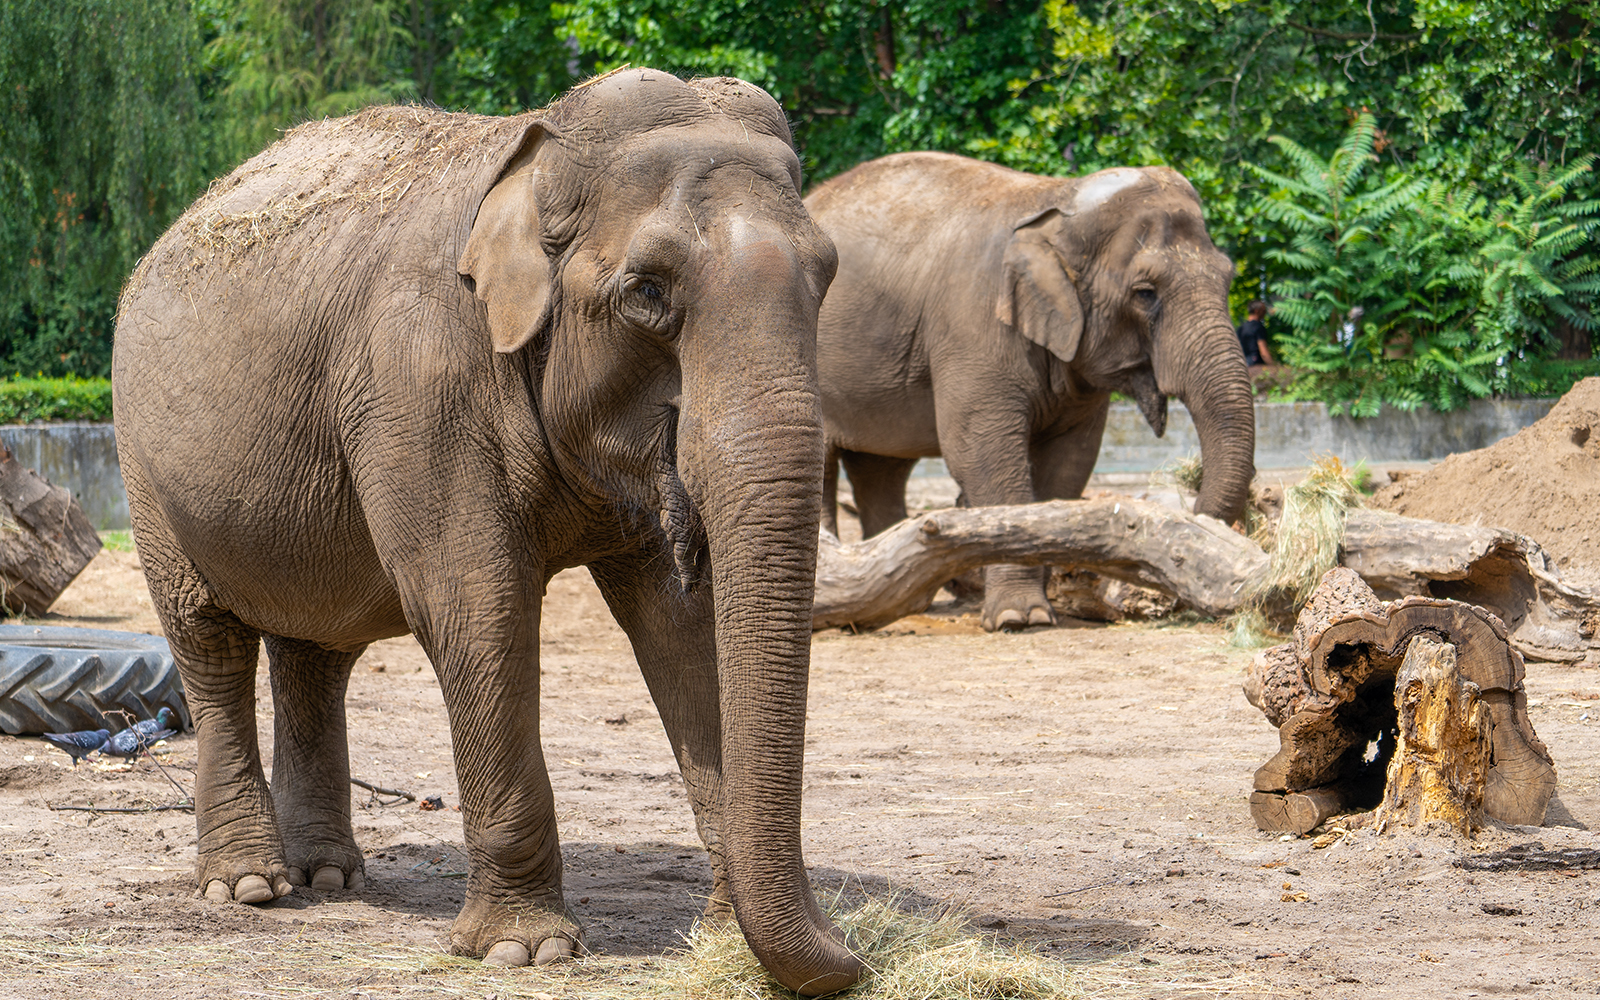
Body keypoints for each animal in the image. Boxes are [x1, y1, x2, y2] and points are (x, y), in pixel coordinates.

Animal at [112, 69, 862, 995]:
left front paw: (723, 941)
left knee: (314, 651)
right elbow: (479, 610)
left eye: (826, 277)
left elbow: (683, 628)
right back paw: (251, 887)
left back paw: (329, 876)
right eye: (647, 291)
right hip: (145, 465)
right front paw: (526, 950)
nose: (855, 953)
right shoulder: (418, 385)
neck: (538, 155)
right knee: (208, 641)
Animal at [805, 152, 1255, 631]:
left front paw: (1040, 604)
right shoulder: (974, 326)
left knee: (881, 469)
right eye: (1145, 293)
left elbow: (1070, 463)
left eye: (1229, 279)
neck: (1056, 201)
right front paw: (1018, 618)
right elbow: (982, 452)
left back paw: (905, 598)